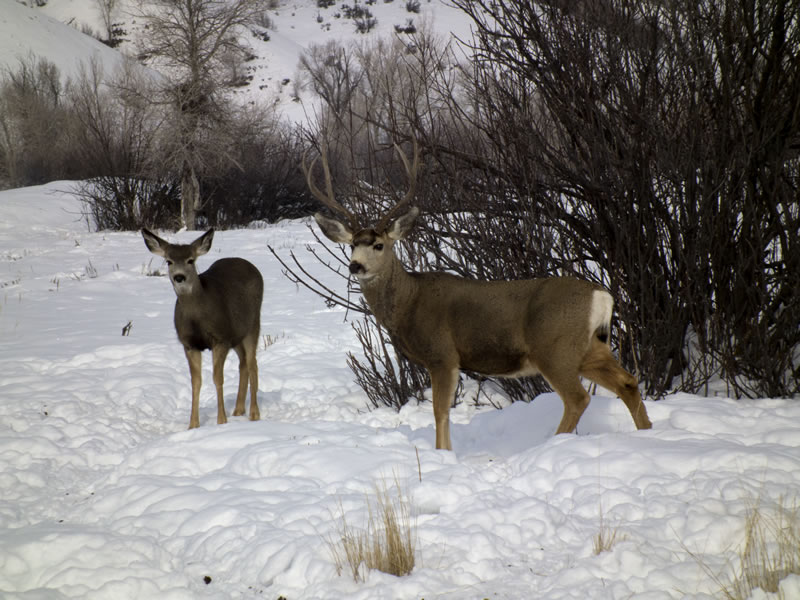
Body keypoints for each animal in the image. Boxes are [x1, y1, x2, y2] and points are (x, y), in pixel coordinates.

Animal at [142, 228, 263, 429]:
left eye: (191, 260)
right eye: (169, 261)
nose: (179, 277)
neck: (197, 319)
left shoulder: (220, 339)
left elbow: (217, 378)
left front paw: (221, 421)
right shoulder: (189, 344)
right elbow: (196, 382)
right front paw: (193, 425)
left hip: (252, 325)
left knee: (252, 363)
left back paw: (254, 414)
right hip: (236, 335)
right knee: (243, 363)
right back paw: (238, 410)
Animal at [304, 140, 653, 450]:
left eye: (378, 245)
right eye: (352, 244)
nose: (356, 265)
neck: (409, 302)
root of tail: (602, 295)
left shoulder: (443, 354)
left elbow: (440, 412)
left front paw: (443, 455)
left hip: (555, 348)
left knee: (578, 398)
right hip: (590, 347)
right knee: (628, 382)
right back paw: (647, 434)